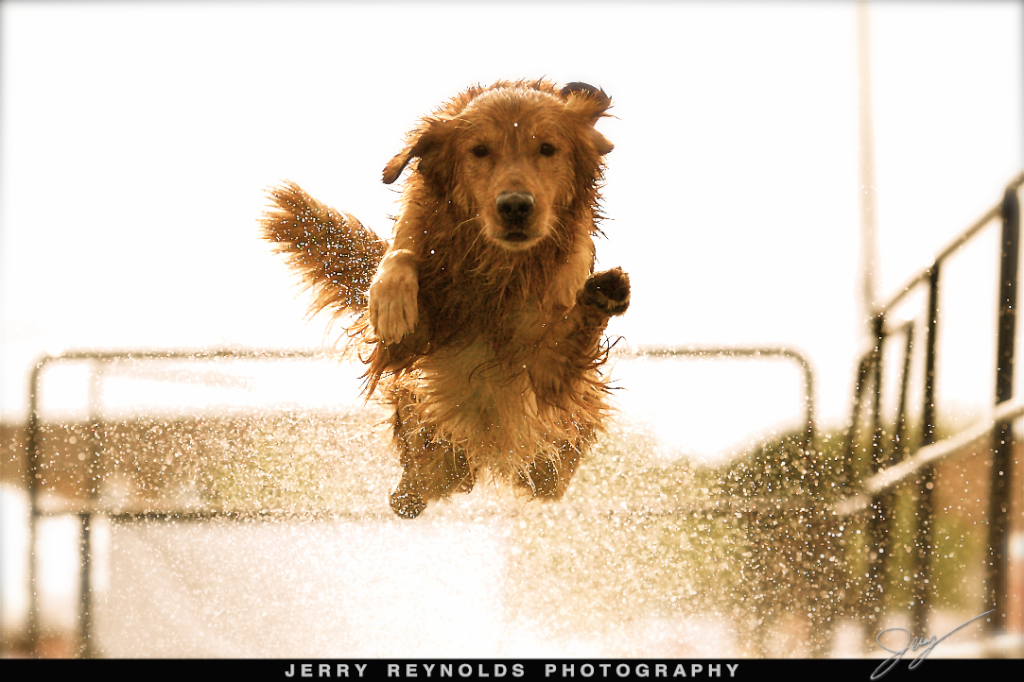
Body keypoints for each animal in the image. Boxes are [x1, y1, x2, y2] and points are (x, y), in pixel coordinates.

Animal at [260, 79, 626, 516]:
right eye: (479, 150)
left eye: (547, 149)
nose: (515, 207)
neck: (496, 269)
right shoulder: (410, 342)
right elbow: (400, 258)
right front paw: (390, 303)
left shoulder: (545, 367)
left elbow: (555, 347)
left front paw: (601, 295)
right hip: (430, 444)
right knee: (412, 490)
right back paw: (407, 494)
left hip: (550, 461)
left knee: (541, 476)